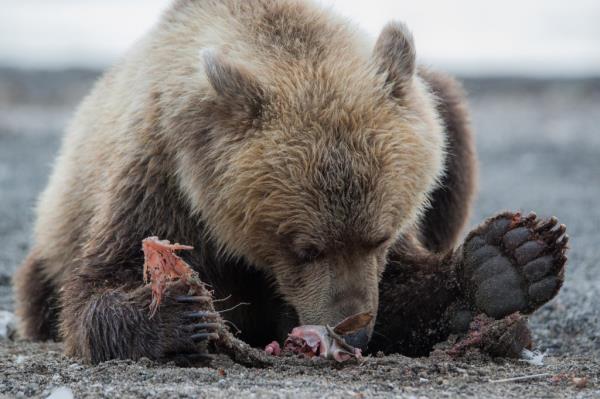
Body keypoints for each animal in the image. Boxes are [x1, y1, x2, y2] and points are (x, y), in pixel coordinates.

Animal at [12, 0, 568, 364]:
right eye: (304, 247)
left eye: (381, 236)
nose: (354, 331)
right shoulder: (158, 176)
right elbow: (98, 286)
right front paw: (178, 311)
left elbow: (407, 286)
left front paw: (509, 260)